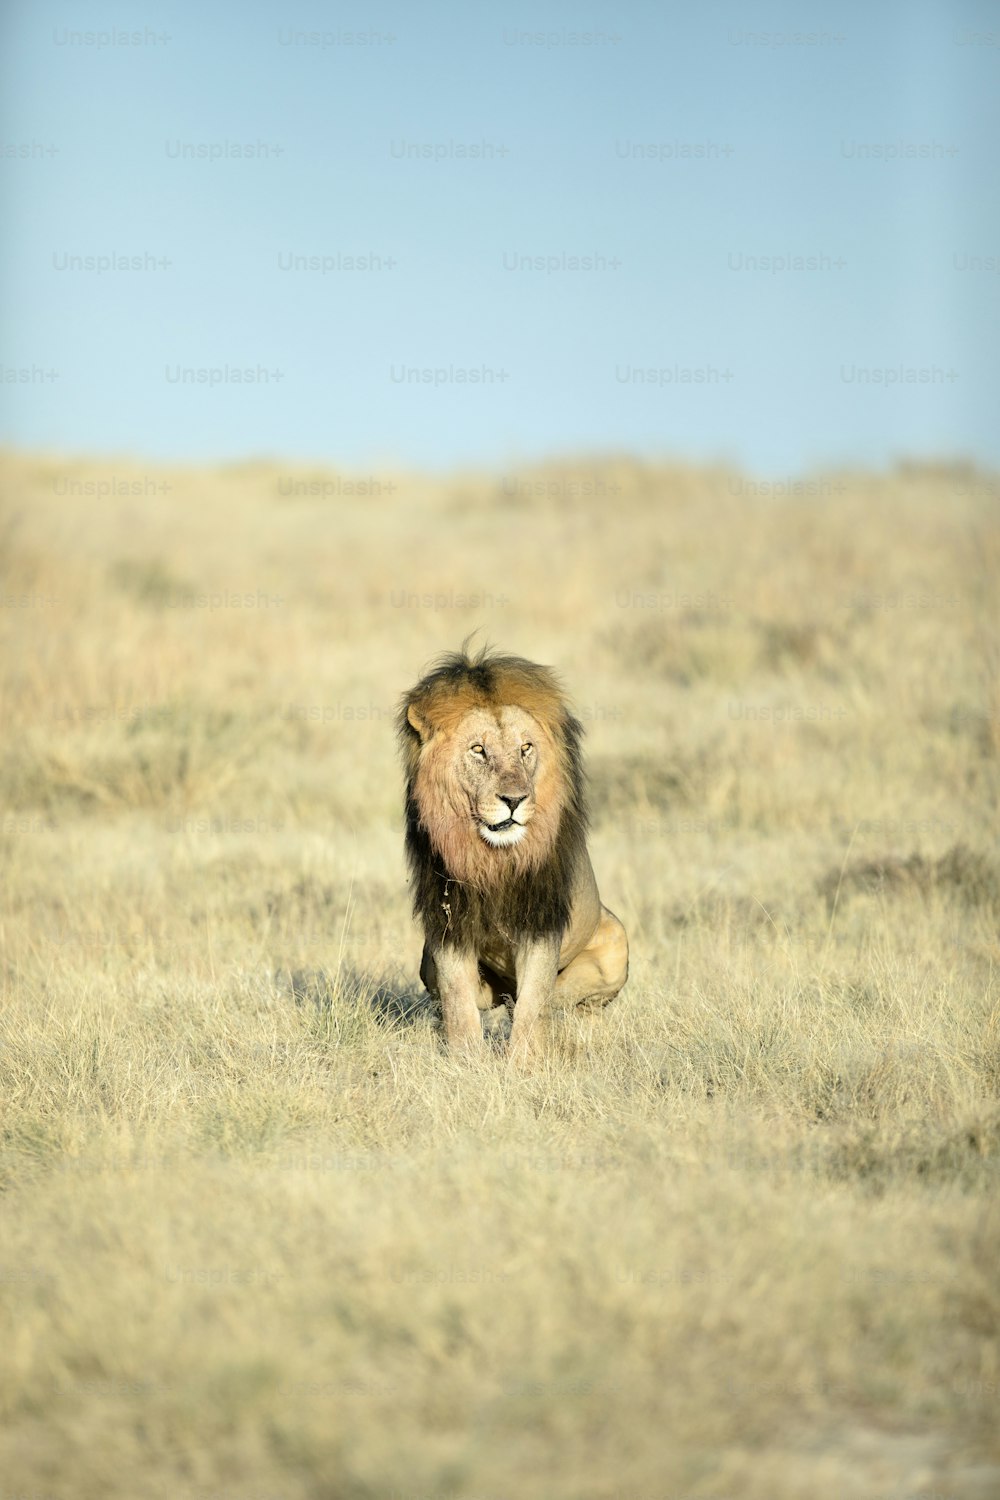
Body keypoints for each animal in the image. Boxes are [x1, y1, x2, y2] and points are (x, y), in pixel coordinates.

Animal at [395, 645, 626, 1056]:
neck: (495, 858)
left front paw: (525, 1062)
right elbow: (457, 998)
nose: (515, 800)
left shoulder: (541, 923)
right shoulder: (448, 923)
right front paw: (466, 1058)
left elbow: (534, 1001)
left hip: (616, 938)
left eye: (525, 748)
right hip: (427, 962)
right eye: (478, 750)